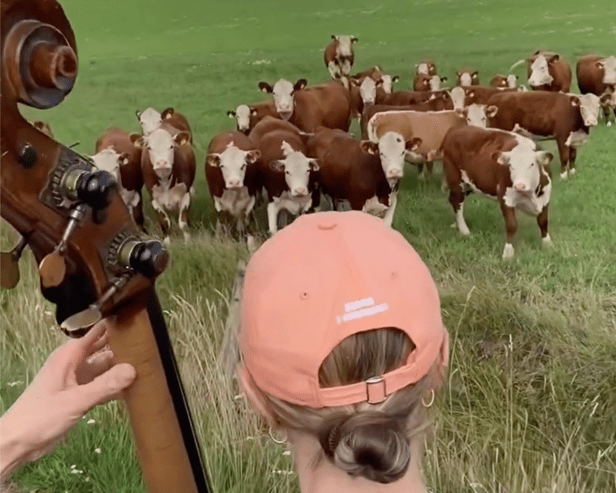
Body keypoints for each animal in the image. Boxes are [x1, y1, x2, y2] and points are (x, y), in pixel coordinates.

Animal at [442, 124, 552, 258]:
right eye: (510, 166)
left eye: (532, 164)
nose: (519, 185)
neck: (531, 193)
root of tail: (456, 128)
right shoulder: (505, 197)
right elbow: (511, 225)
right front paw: (508, 253)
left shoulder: (545, 197)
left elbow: (543, 221)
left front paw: (548, 244)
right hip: (456, 181)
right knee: (457, 202)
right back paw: (464, 230)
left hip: (470, 184)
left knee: (452, 200)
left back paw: (456, 224)